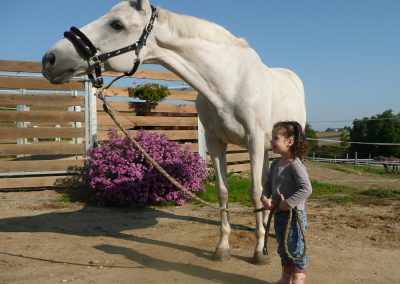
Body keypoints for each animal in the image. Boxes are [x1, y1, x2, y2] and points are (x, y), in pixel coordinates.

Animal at [42, 0, 306, 264]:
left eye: (117, 24)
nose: (49, 59)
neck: (229, 83)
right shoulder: (216, 143)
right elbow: (224, 192)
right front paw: (222, 248)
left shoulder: (253, 141)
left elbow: (255, 191)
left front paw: (259, 251)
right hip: (265, 148)